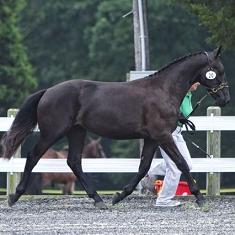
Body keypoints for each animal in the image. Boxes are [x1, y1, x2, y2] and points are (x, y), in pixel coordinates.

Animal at [0, 46, 229, 208]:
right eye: (217, 71)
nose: (225, 99)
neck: (163, 90)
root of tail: (48, 91)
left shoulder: (151, 138)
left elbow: (144, 167)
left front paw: (119, 196)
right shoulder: (163, 135)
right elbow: (181, 163)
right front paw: (200, 198)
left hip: (77, 131)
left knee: (74, 162)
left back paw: (98, 200)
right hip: (53, 132)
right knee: (33, 156)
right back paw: (15, 196)